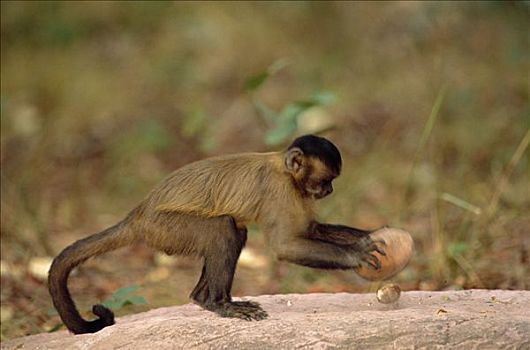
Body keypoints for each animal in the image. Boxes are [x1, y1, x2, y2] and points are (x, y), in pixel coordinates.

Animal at [47, 134, 382, 334]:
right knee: (223, 229)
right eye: (326, 180)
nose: (329, 190)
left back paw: (202, 299)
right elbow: (285, 246)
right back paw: (220, 304)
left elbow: (311, 230)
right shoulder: (280, 190)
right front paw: (357, 254)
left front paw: (371, 235)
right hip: (164, 228)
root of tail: (139, 214)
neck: (284, 170)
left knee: (235, 231)